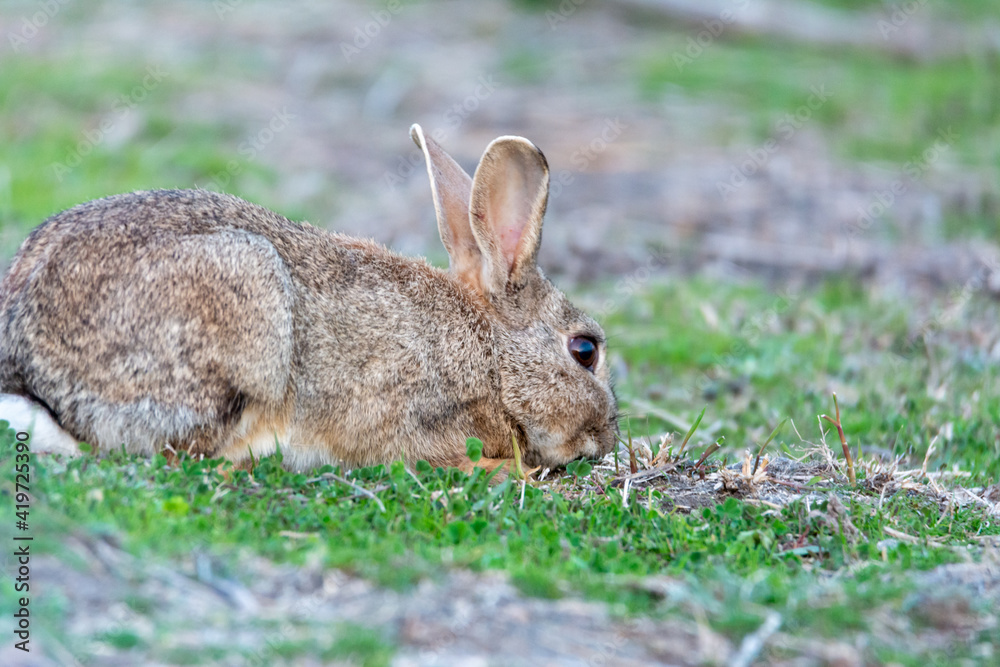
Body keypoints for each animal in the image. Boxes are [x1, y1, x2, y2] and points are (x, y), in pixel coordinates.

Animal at [0, 124, 619, 473]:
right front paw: (515, 474)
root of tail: (28, 372)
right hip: (246, 322)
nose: (609, 439)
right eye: (585, 350)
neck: (492, 355)